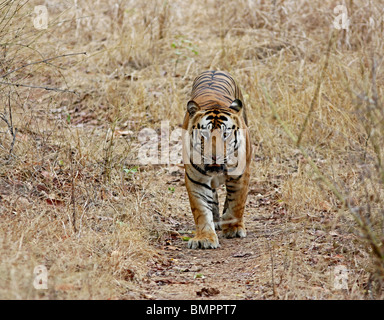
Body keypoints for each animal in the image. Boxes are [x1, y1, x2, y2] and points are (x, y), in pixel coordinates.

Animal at [183, 70, 252, 250]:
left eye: (225, 134)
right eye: (204, 134)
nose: (214, 156)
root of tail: (214, 70)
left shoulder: (241, 174)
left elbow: (237, 202)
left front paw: (234, 228)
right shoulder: (196, 179)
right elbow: (201, 210)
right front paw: (205, 238)